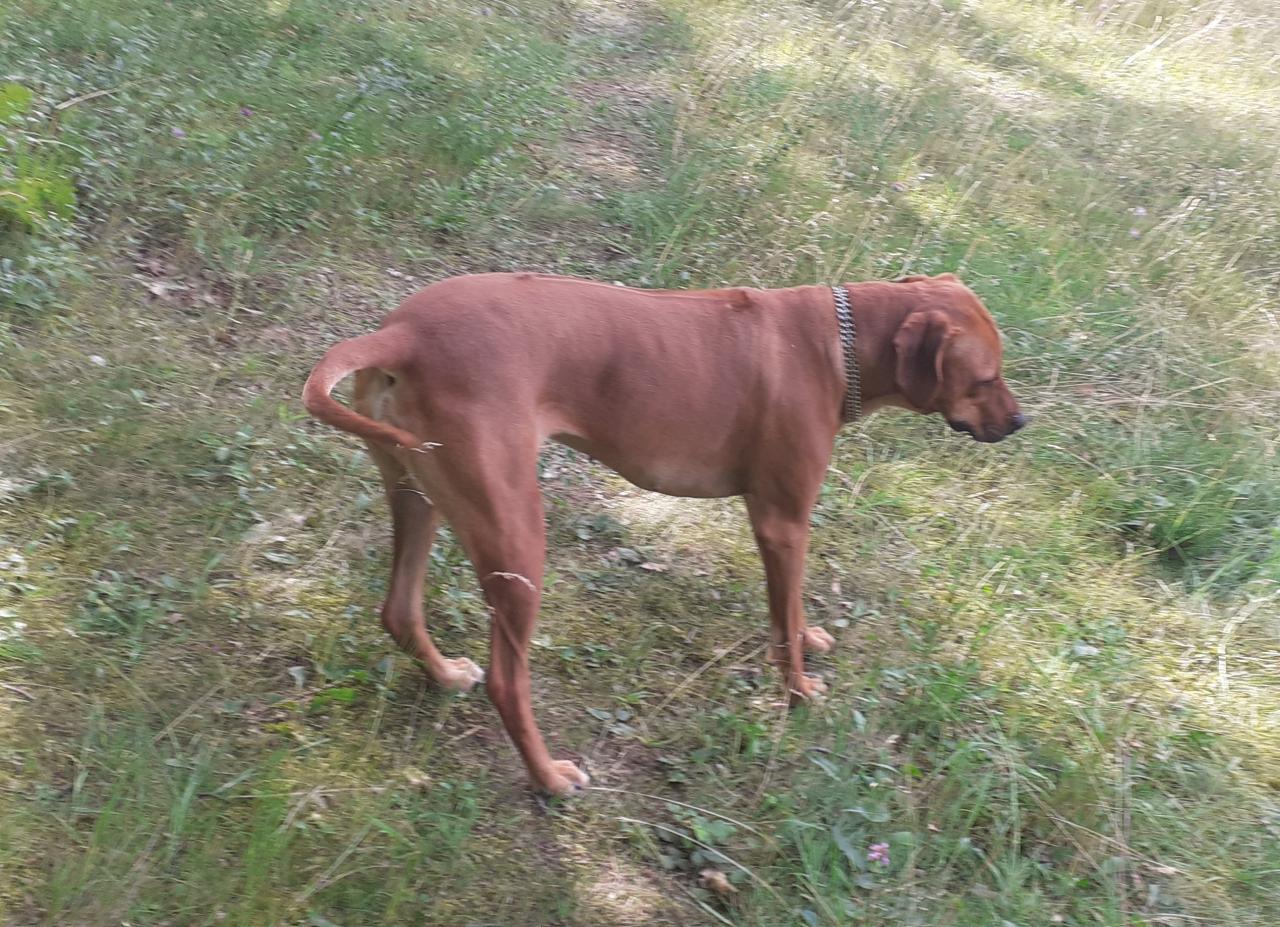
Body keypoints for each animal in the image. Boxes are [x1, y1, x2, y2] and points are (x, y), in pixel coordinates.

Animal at [299, 271, 1018, 793]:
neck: (833, 348)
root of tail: (403, 333)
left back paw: (447, 676)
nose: (1020, 422)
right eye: (985, 377)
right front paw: (799, 690)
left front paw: (810, 636)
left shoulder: (783, 524)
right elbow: (783, 620)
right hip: (517, 536)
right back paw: (549, 778)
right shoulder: (783, 521)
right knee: (509, 680)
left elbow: (791, 611)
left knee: (399, 609)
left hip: (417, 492)